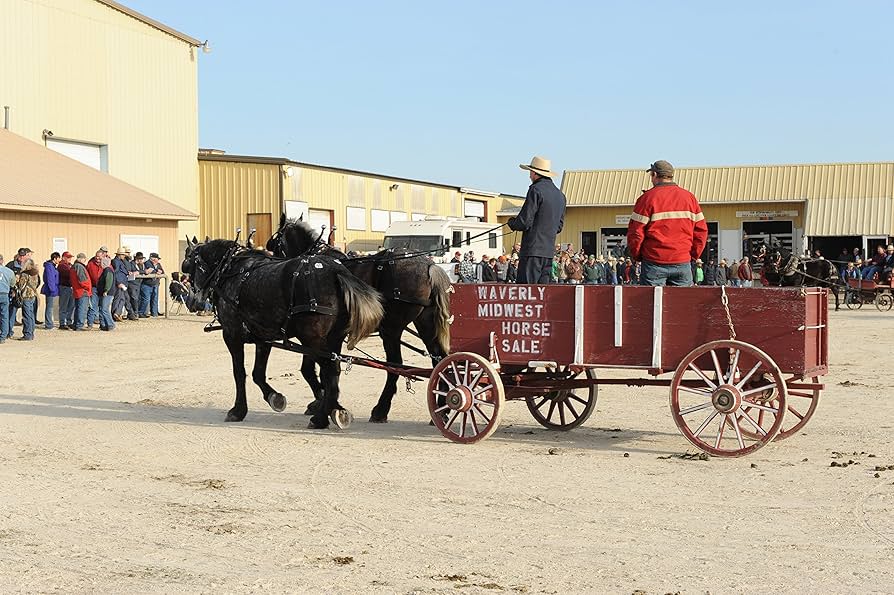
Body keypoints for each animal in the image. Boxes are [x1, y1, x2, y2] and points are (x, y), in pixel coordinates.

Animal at [184, 236, 386, 428]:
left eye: (188, 265)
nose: (193, 302)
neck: (229, 270)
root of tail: (336, 271)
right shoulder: (262, 338)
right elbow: (258, 373)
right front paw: (275, 397)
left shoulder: (231, 335)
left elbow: (239, 373)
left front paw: (238, 410)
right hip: (332, 339)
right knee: (332, 372)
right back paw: (331, 409)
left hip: (312, 339)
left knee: (329, 370)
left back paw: (320, 418)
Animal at [262, 217, 452, 426]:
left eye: (275, 243)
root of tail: (430, 266)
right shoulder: (327, 334)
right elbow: (324, 367)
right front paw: (326, 402)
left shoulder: (315, 331)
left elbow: (312, 370)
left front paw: (321, 402)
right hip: (425, 324)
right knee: (439, 360)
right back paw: (441, 410)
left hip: (391, 329)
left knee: (395, 365)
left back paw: (381, 409)